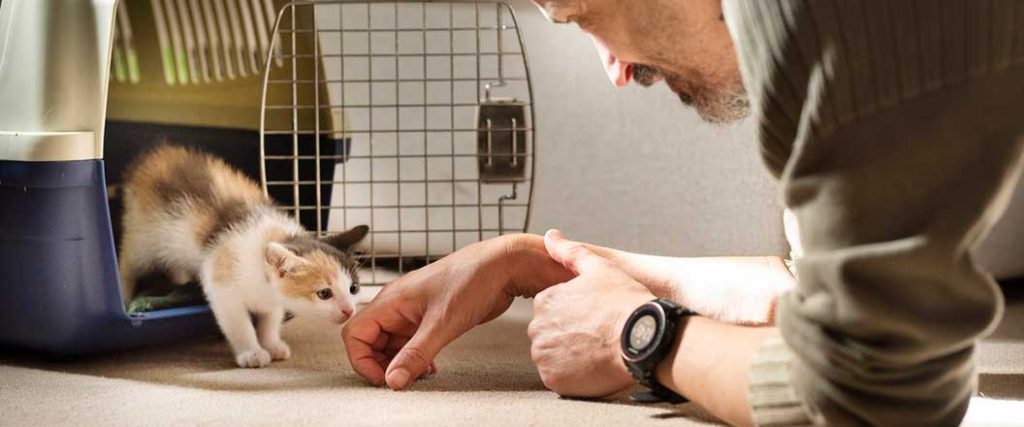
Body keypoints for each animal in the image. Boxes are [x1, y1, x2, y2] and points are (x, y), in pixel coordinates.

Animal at [119, 145, 368, 366]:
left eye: (353, 288)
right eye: (324, 293)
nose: (349, 310)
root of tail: (154, 155)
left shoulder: (272, 299)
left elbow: (270, 318)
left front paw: (272, 343)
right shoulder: (221, 281)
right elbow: (239, 323)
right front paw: (252, 353)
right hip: (141, 235)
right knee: (128, 264)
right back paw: (124, 296)